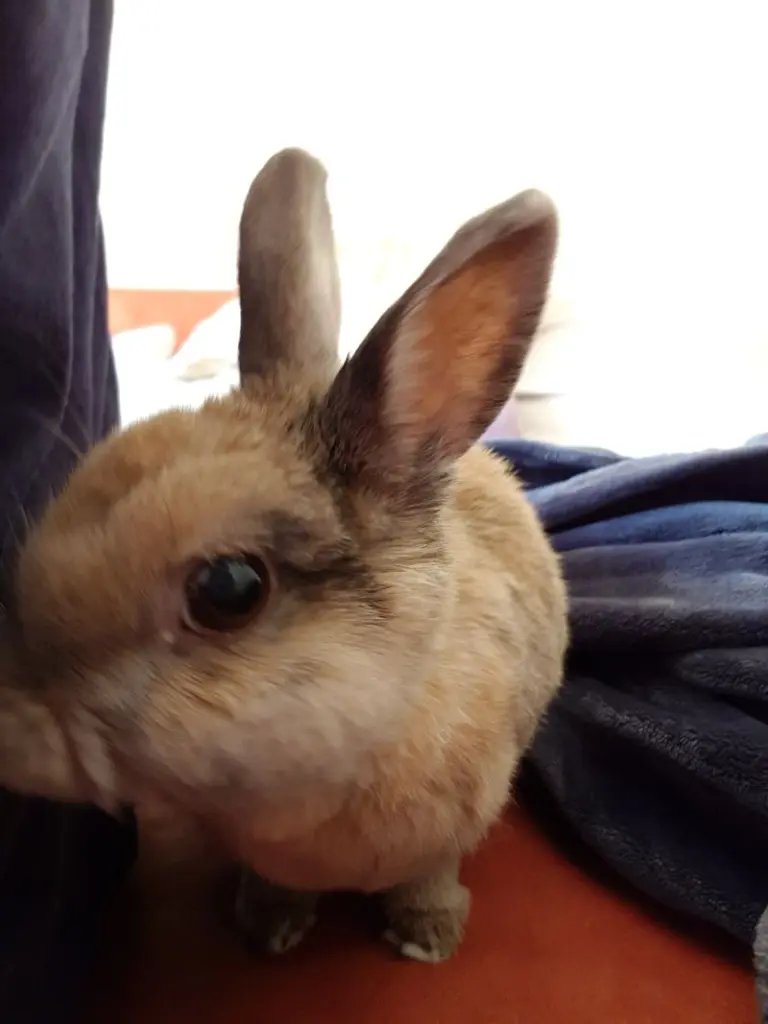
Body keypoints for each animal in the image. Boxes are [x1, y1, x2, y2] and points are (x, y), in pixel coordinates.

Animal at [2, 148, 567, 963]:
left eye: (229, 589)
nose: (12, 729)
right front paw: (270, 928)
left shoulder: (450, 835)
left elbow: (428, 879)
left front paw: (427, 939)